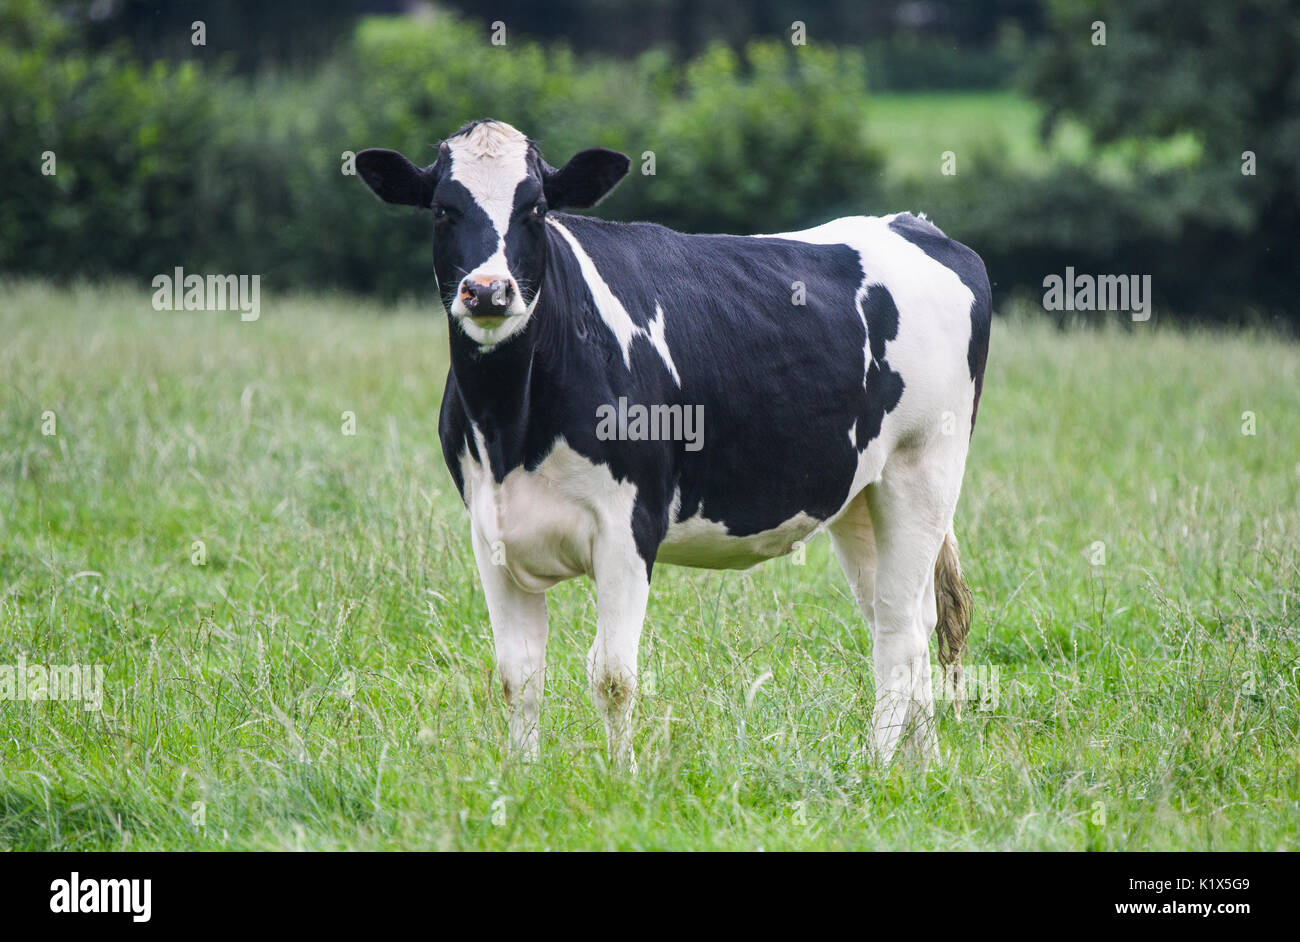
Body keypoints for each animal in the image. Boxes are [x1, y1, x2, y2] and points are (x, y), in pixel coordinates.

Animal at [356, 119, 991, 768]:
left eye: (534, 208)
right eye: (442, 210)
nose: (488, 292)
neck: (513, 427)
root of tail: (914, 225)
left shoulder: (628, 526)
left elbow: (612, 675)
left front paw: (620, 776)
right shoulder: (491, 529)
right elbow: (518, 674)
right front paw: (521, 773)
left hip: (925, 468)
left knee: (901, 632)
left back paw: (876, 766)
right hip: (861, 494)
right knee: (910, 617)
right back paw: (922, 766)